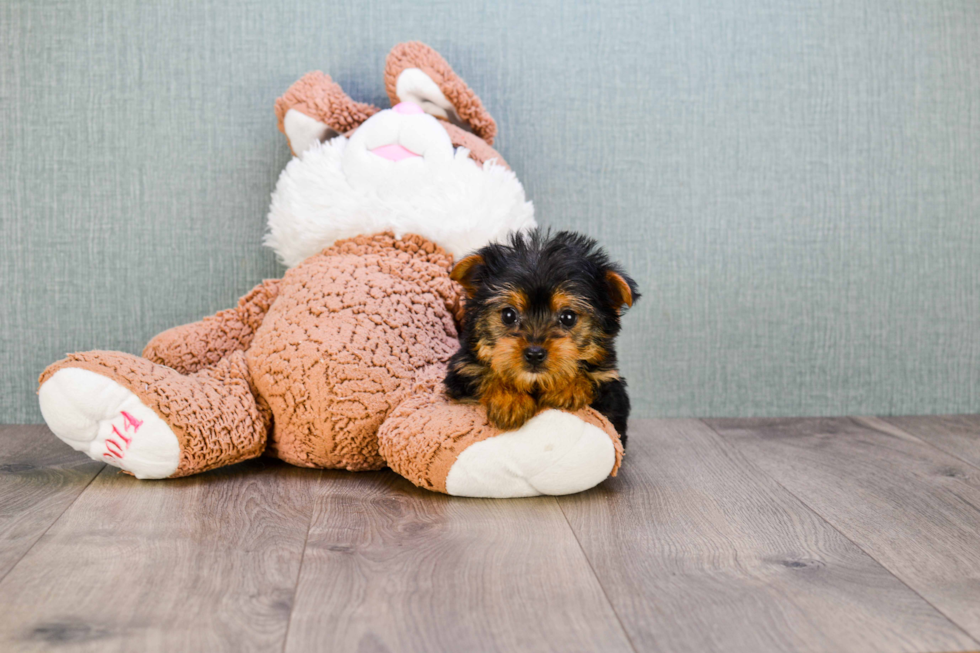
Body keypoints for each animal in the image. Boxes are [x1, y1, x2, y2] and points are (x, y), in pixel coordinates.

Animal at [446, 229, 644, 448]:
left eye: (568, 317)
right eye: (508, 315)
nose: (534, 353)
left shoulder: (611, 386)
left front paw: (567, 388)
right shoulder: (462, 371)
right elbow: (483, 374)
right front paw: (510, 400)